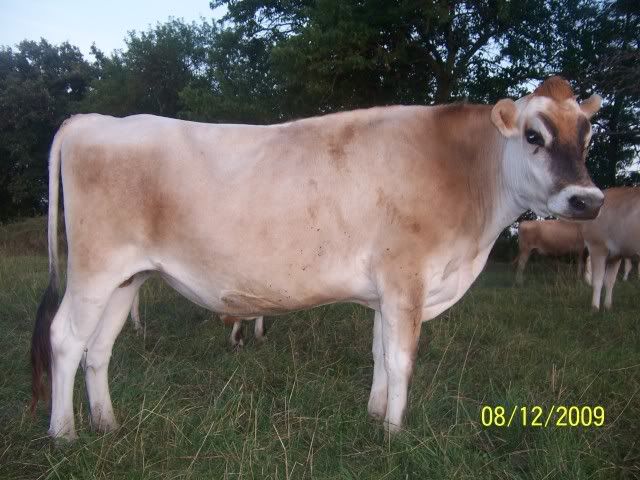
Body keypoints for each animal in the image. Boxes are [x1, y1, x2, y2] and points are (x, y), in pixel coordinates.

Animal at [31, 76, 603, 440]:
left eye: (586, 135)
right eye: (533, 135)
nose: (588, 200)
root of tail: (93, 120)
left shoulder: (386, 292)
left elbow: (379, 355)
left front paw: (375, 417)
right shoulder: (407, 280)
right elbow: (402, 358)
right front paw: (395, 435)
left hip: (127, 278)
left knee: (98, 348)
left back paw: (107, 424)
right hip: (95, 269)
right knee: (64, 339)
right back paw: (65, 434)